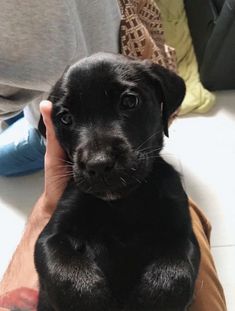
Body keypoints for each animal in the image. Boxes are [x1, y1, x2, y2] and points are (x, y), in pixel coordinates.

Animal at [35, 53, 200, 311]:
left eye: (129, 101)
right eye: (66, 118)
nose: (98, 164)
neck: (123, 202)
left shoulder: (182, 235)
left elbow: (174, 276)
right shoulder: (51, 236)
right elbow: (66, 273)